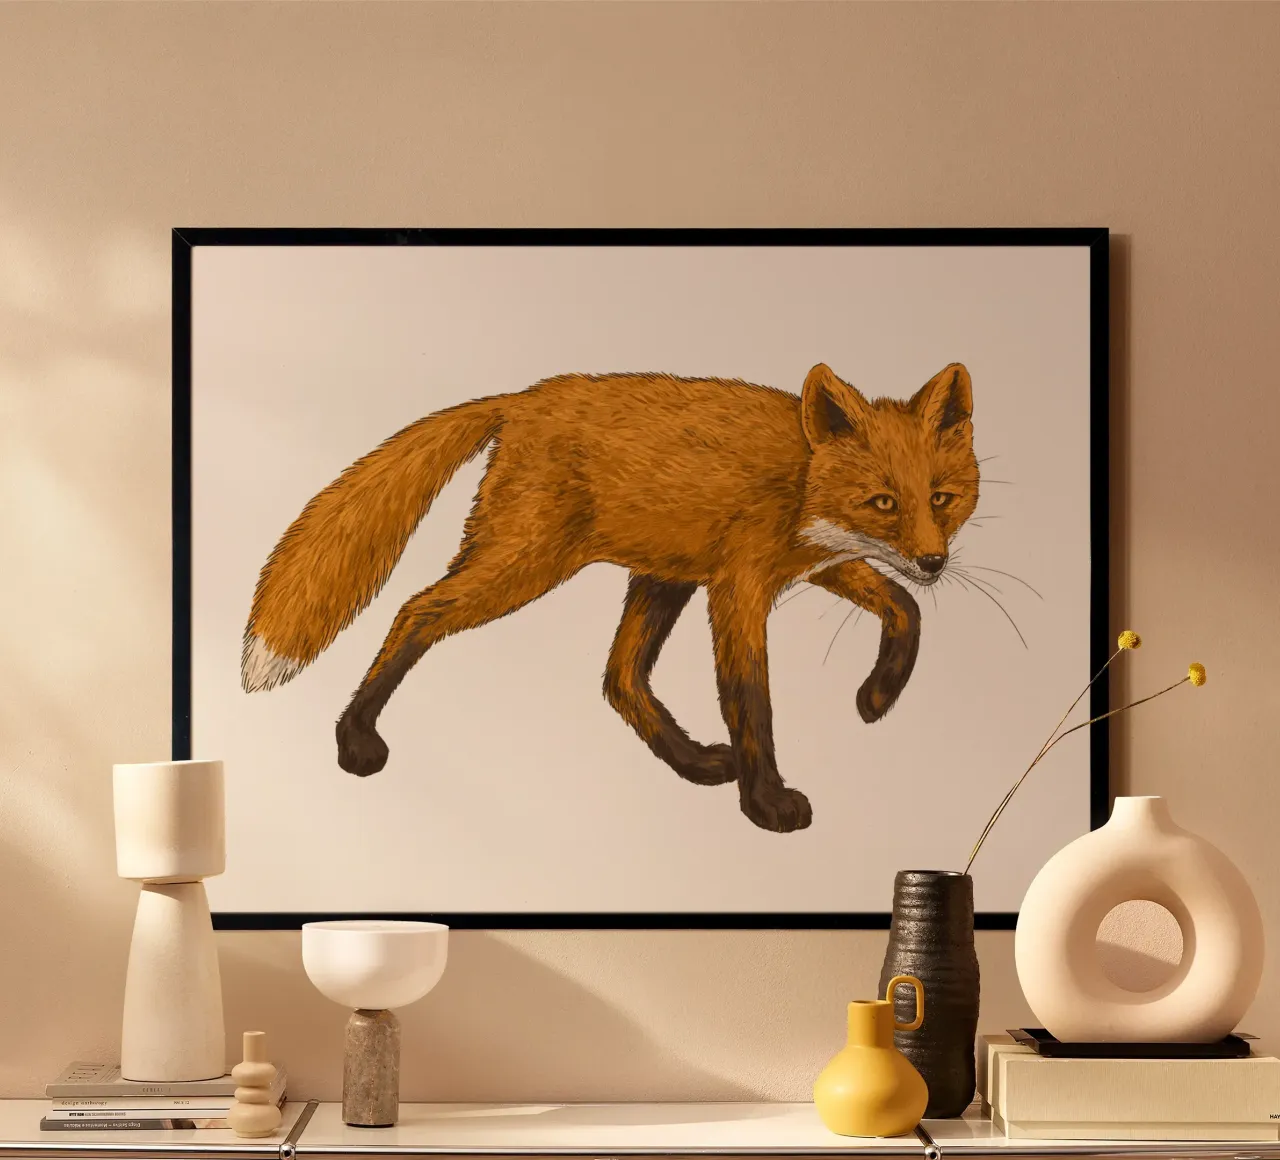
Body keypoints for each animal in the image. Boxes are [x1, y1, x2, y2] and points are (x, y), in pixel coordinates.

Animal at [241, 361, 979, 834]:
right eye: (883, 502)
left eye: (942, 498)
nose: (934, 560)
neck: (801, 477)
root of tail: (519, 397)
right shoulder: (739, 587)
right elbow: (751, 699)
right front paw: (767, 804)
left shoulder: (814, 562)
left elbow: (905, 608)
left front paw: (877, 696)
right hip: (528, 563)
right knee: (416, 609)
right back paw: (355, 738)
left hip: (659, 576)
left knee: (619, 677)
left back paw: (693, 762)